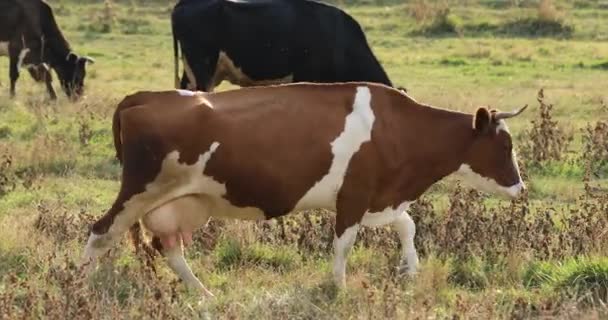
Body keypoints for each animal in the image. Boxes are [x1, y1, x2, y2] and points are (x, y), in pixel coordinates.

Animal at [81, 81, 528, 296]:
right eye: (504, 146)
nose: (521, 189)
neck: (397, 130)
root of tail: (143, 96)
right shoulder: (354, 196)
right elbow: (344, 245)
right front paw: (339, 288)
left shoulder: (380, 197)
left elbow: (408, 227)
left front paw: (411, 272)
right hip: (140, 190)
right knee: (100, 234)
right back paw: (80, 285)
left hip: (179, 202)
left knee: (169, 248)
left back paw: (202, 292)